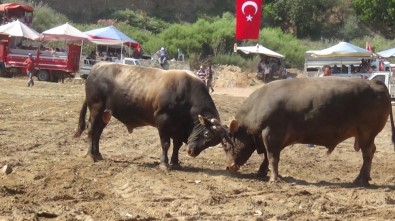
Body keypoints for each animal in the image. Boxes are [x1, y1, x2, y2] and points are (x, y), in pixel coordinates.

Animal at [75, 62, 229, 169]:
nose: (192, 152)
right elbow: (166, 144)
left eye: (213, 142)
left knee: (98, 132)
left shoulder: (178, 128)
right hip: (96, 108)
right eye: (207, 134)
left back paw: (98, 154)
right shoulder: (163, 120)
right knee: (91, 129)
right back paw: (91, 155)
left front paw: (175, 162)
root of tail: (96, 67)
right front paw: (164, 164)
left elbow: (177, 145)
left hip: (105, 114)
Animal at [223, 77, 395, 186]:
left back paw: (362, 180)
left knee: (368, 154)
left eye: (225, 145)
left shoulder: (271, 134)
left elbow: (272, 157)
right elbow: (267, 156)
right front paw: (262, 171)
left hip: (367, 133)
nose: (229, 167)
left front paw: (273, 178)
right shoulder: (272, 138)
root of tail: (375, 82)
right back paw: (362, 178)